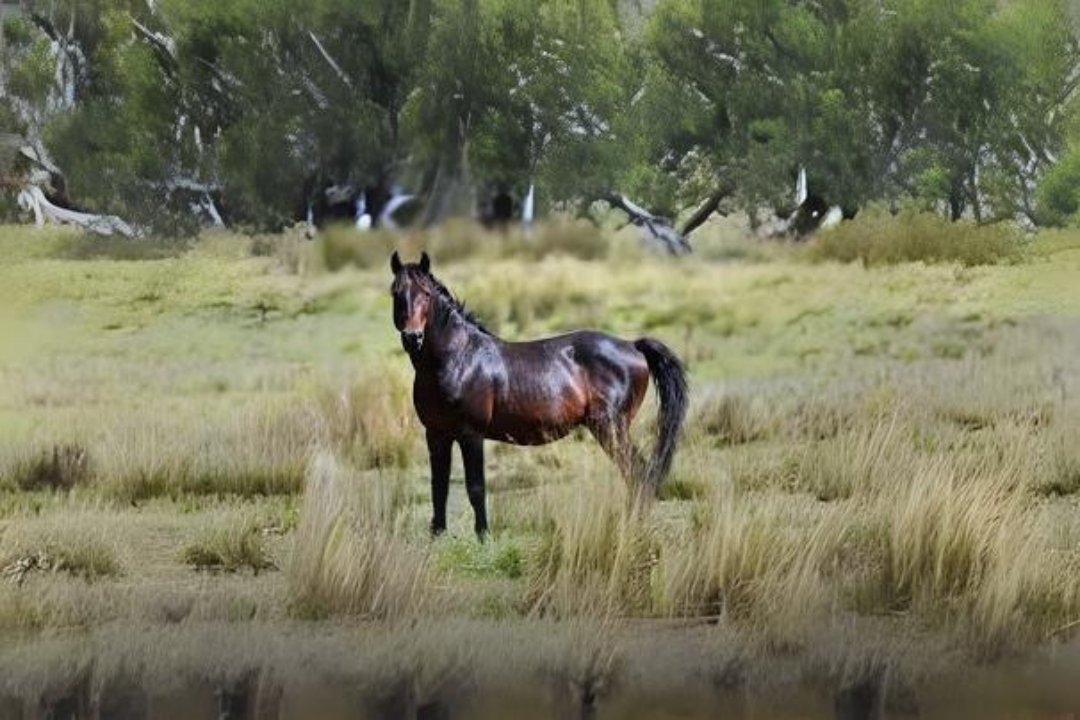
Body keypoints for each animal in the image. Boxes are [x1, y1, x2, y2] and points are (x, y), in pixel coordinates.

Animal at [393, 250, 686, 537]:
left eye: (426, 294)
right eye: (396, 292)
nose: (412, 337)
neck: (459, 358)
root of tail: (632, 345)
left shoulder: (471, 434)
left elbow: (475, 487)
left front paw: (483, 537)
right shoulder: (436, 434)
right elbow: (438, 487)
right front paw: (437, 535)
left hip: (610, 428)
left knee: (638, 473)